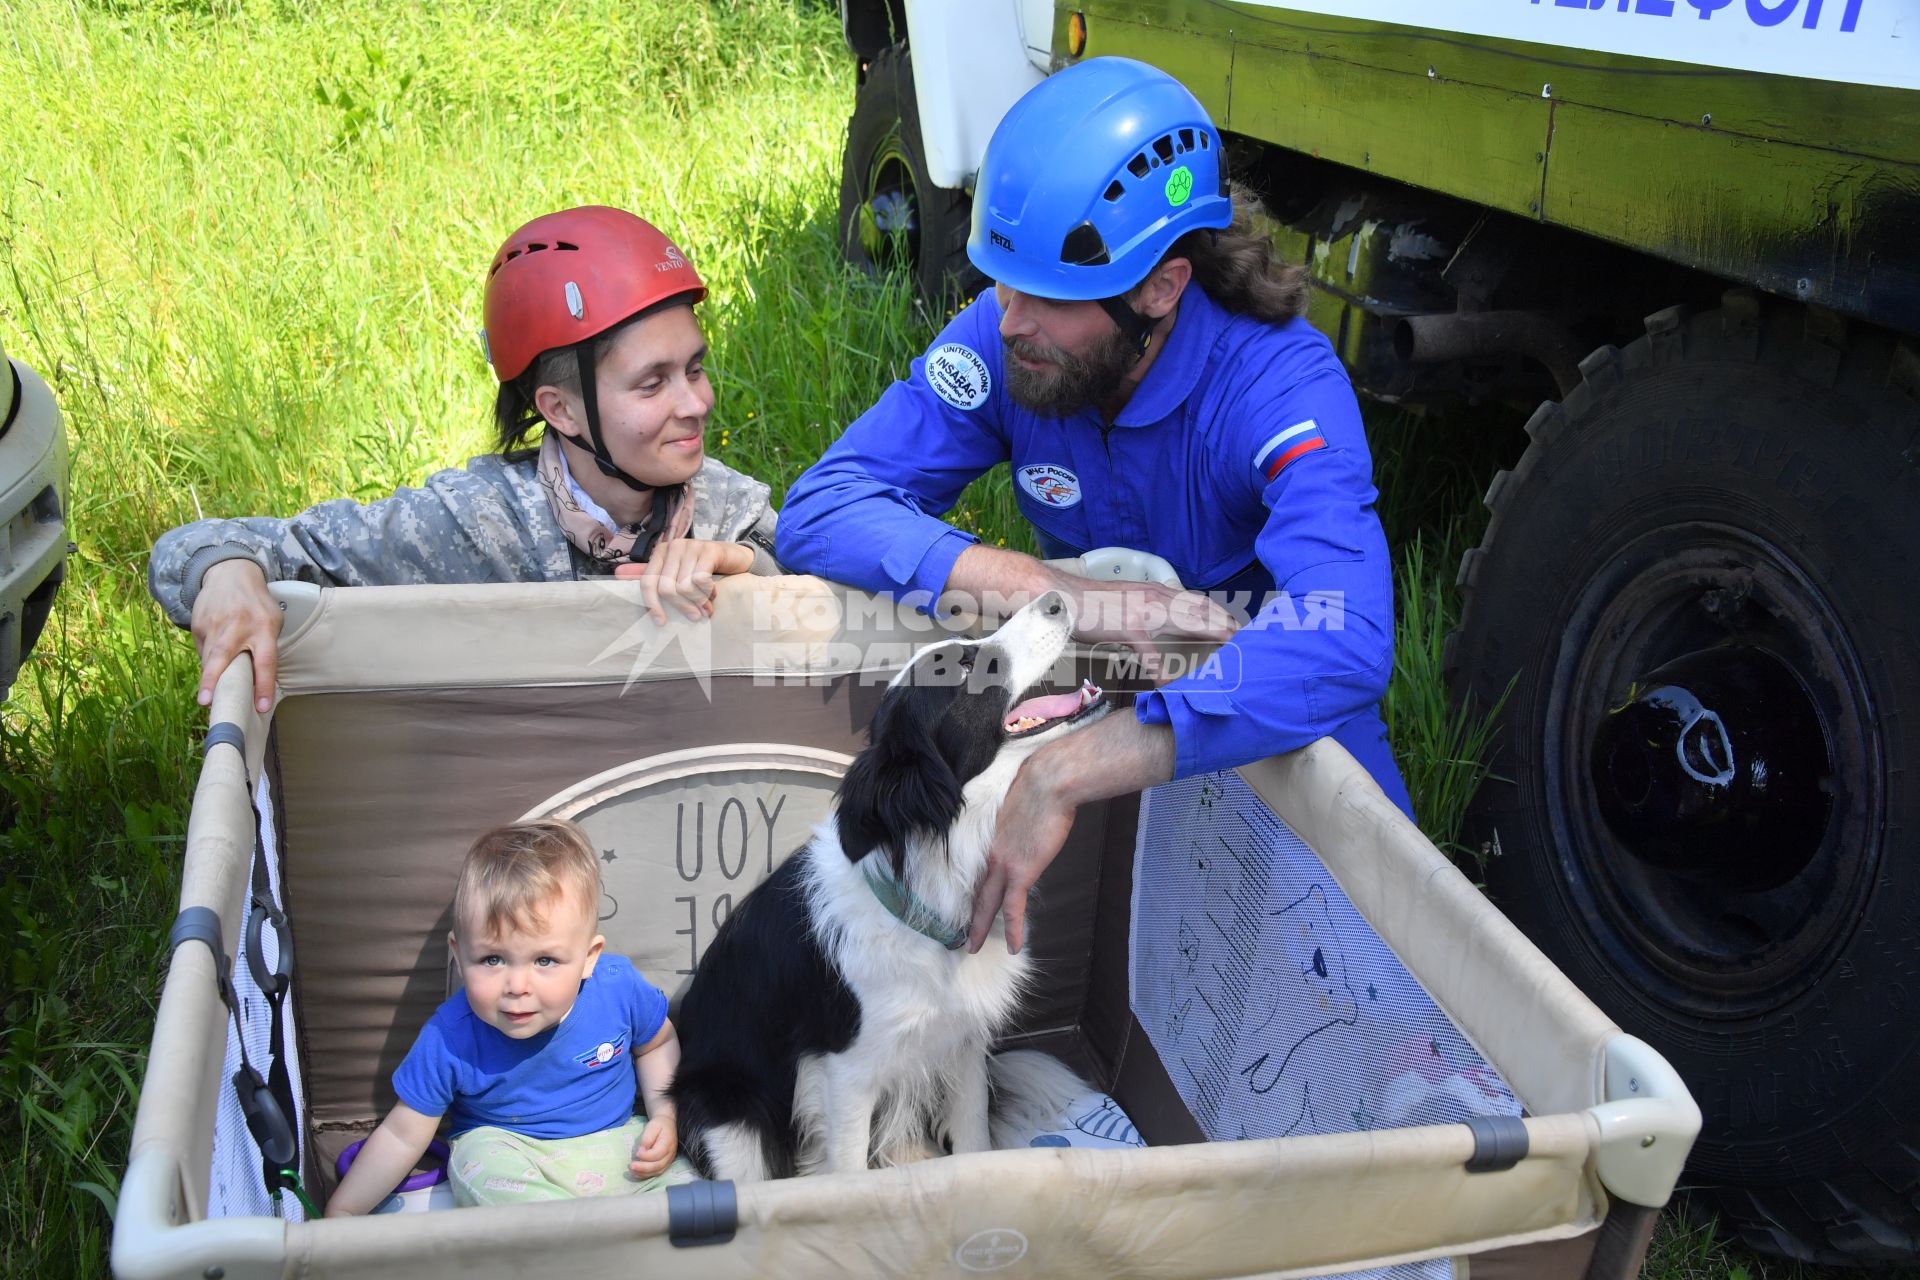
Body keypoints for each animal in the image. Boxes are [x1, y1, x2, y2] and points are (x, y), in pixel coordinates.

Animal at [672, 594, 1098, 1182]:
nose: (1055, 598)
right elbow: (851, 1177)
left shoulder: (964, 1044)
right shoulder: (846, 1074)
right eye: (965, 666)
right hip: (727, 1117)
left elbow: (974, 1145)